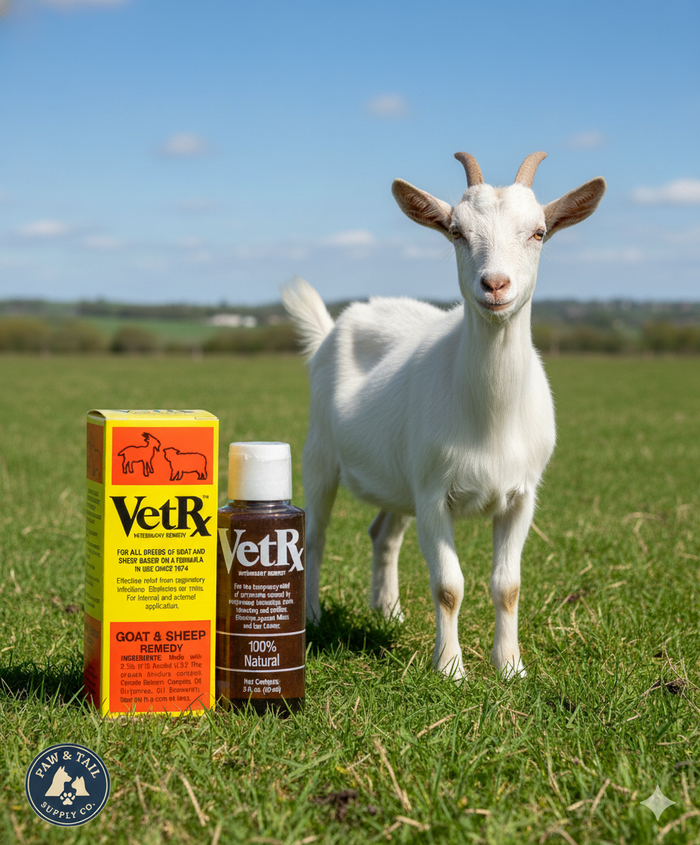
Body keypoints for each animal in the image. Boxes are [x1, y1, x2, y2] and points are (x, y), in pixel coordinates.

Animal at [281, 151, 606, 680]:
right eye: (456, 231)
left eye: (538, 232)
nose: (495, 284)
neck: (491, 417)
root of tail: (332, 327)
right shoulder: (434, 496)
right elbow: (449, 586)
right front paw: (451, 668)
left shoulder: (521, 497)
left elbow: (508, 585)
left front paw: (510, 667)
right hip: (320, 454)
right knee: (316, 533)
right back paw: (312, 615)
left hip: (400, 478)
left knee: (383, 533)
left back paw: (388, 612)